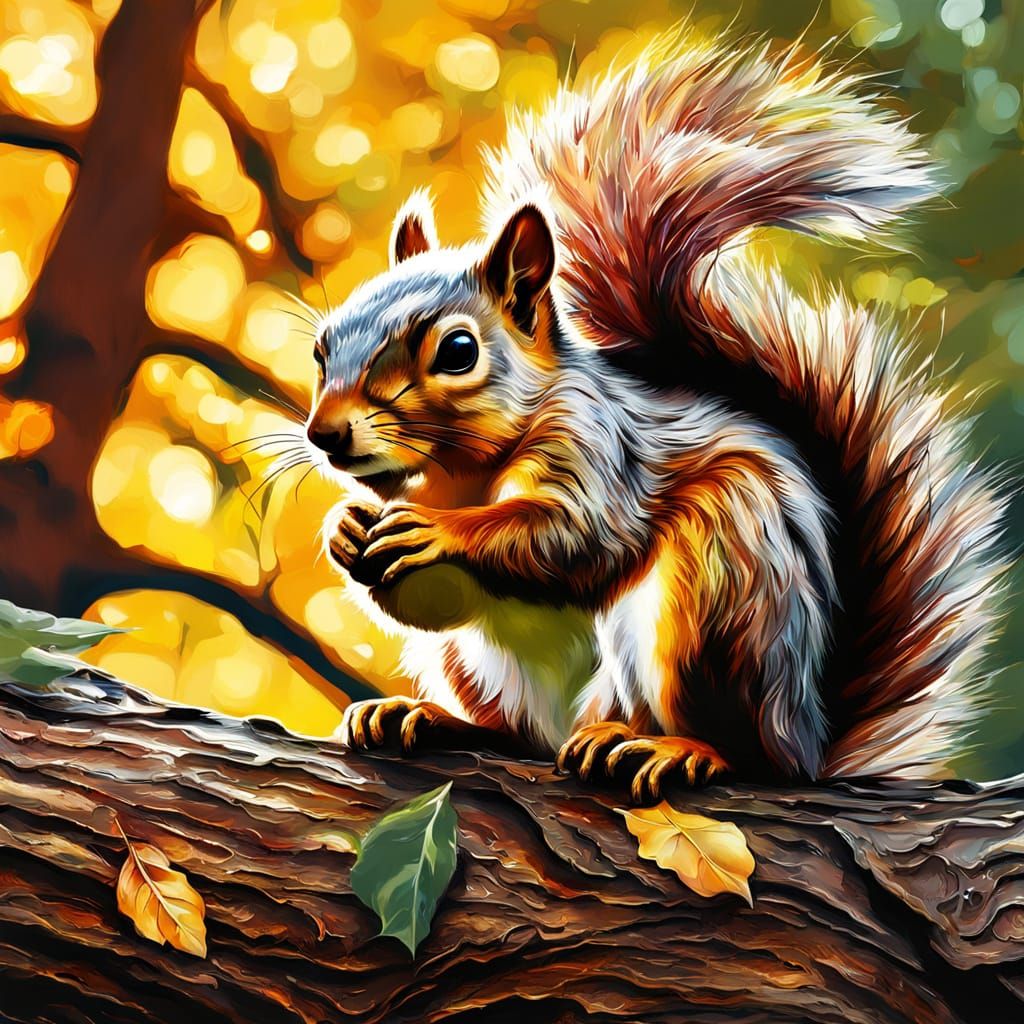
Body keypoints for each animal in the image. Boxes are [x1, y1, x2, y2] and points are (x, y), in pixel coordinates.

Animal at [305, 27, 1007, 802]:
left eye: (458, 350)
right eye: (322, 347)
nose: (325, 434)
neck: (459, 473)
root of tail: (808, 736)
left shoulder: (599, 448)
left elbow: (573, 537)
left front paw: (440, 531)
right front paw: (345, 529)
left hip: (716, 596)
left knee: (744, 753)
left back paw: (673, 749)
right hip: (480, 668)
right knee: (514, 735)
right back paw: (430, 719)